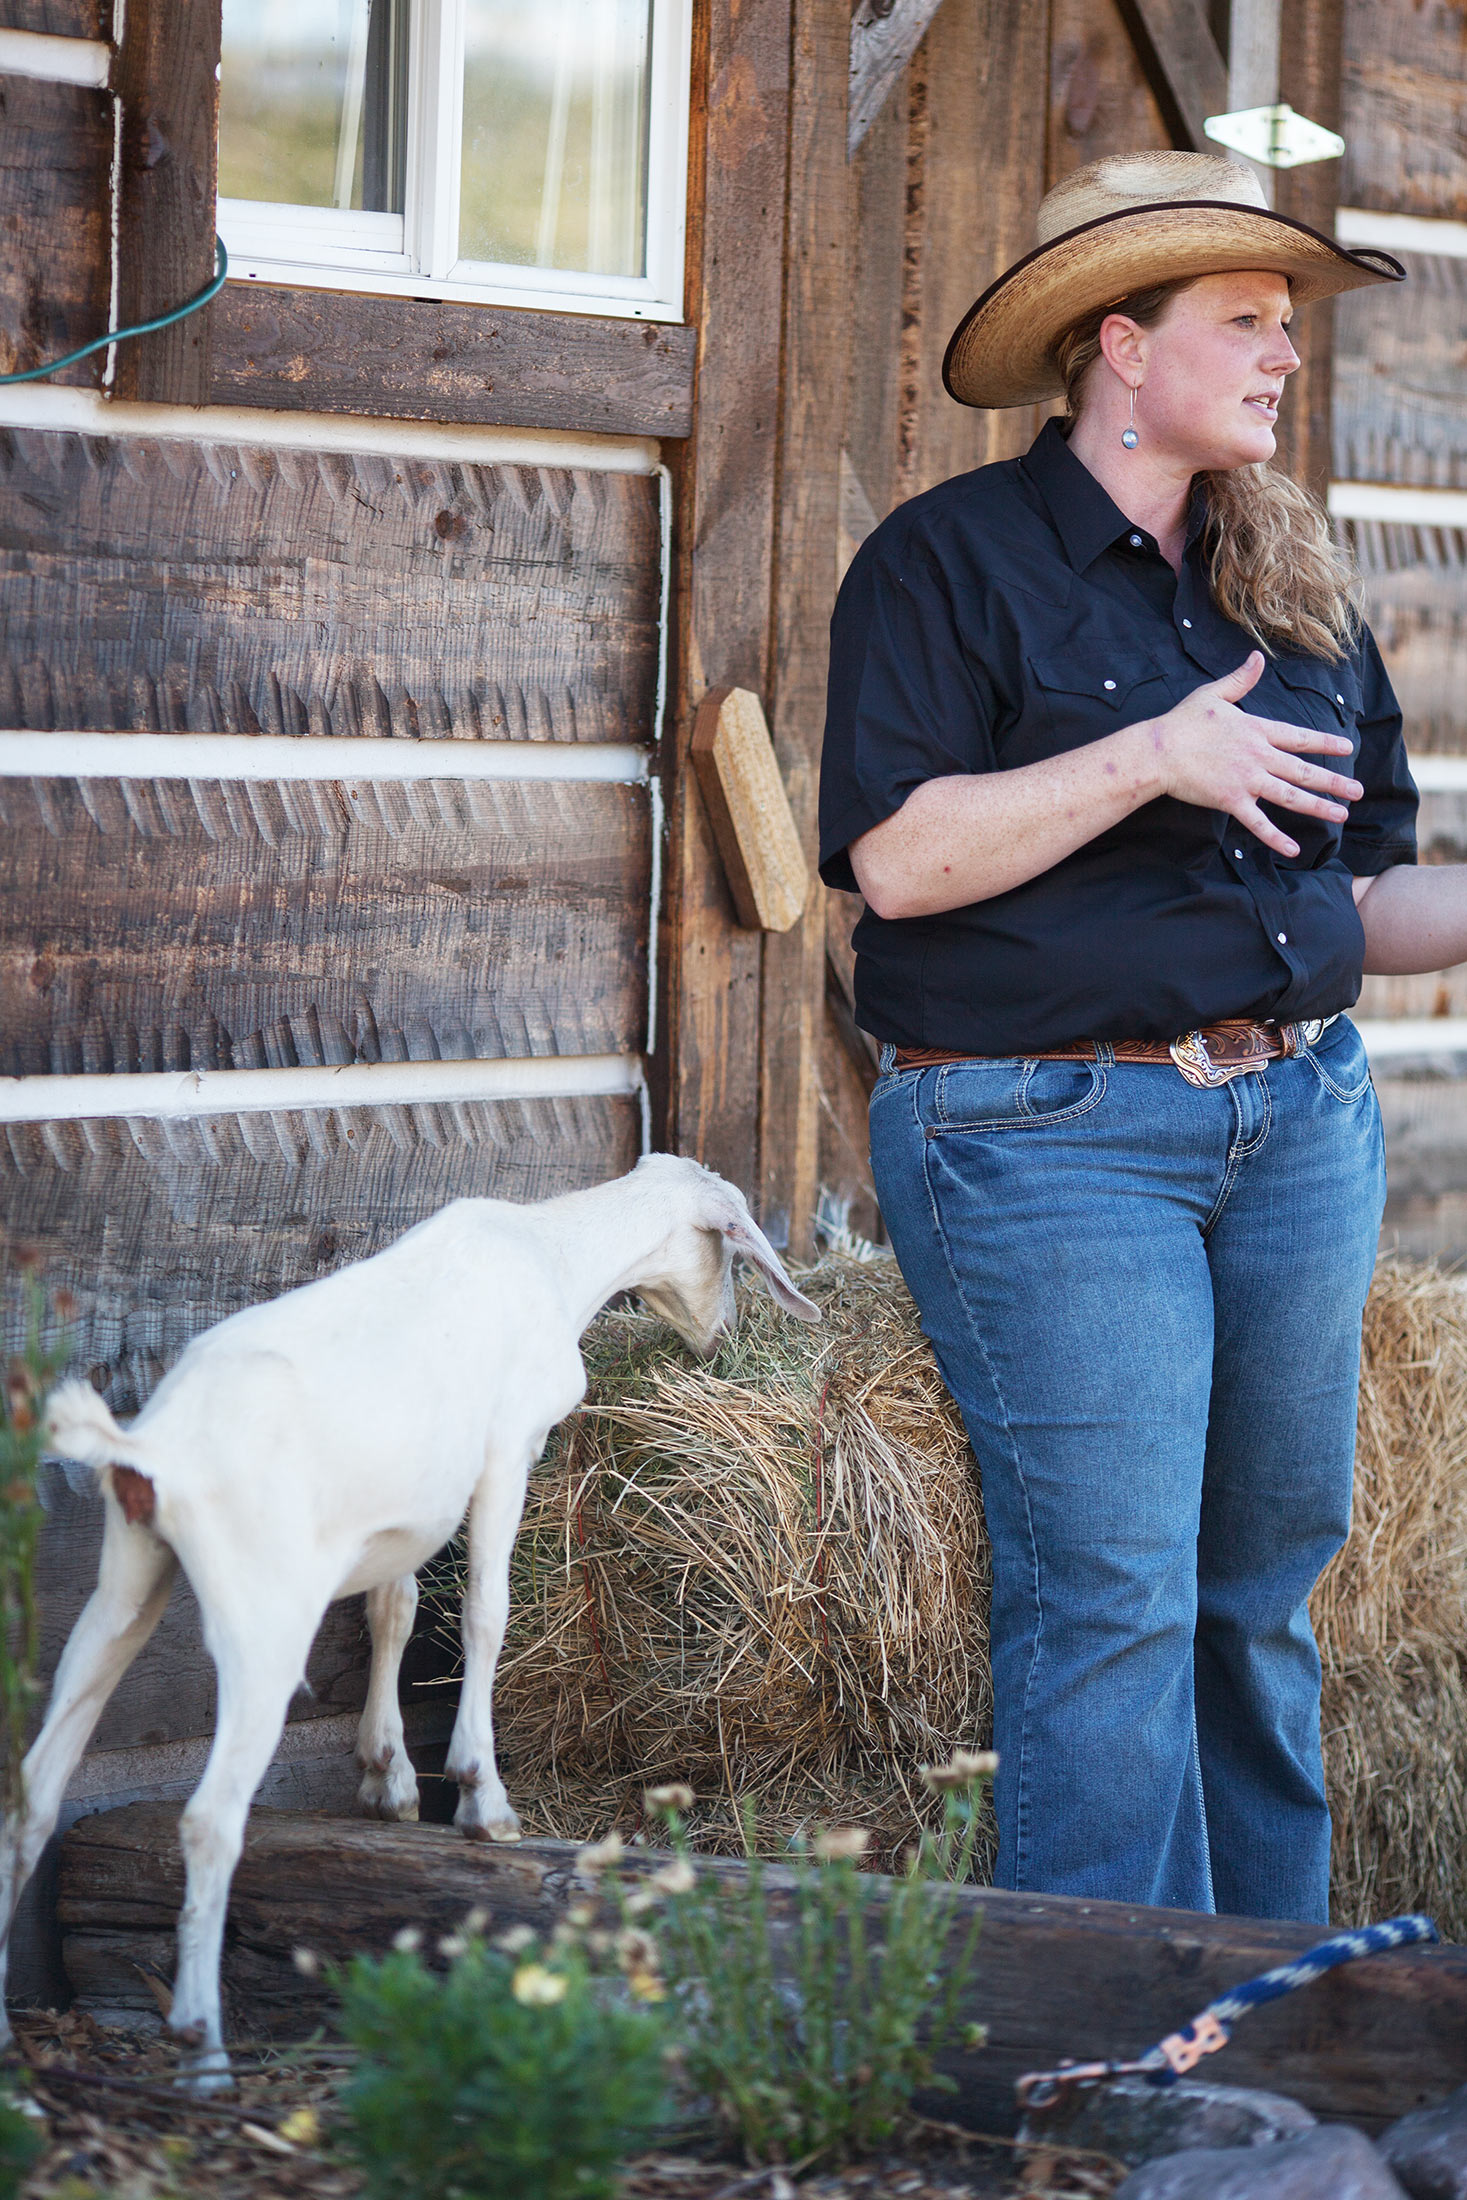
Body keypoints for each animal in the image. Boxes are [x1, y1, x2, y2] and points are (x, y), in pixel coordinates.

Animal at [2, 1152, 813, 2076]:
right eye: (734, 1252)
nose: (725, 1338)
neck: (554, 1254)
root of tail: (151, 1452)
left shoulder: (403, 1511)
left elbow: (396, 1607)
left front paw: (386, 1775)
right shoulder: (504, 1455)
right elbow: (486, 1611)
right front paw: (479, 1797)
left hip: (125, 1581)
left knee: (34, 1794)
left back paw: (9, 2039)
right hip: (262, 1613)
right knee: (208, 1820)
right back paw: (202, 2043)